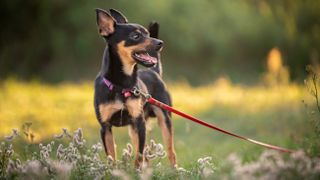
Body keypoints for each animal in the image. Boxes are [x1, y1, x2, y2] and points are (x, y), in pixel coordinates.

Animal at [92, 8, 178, 166]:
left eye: (148, 34)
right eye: (135, 36)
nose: (160, 43)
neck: (121, 85)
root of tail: (153, 72)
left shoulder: (139, 123)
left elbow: (139, 155)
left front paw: (136, 169)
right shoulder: (105, 128)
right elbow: (111, 157)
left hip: (164, 119)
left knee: (170, 152)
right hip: (132, 130)